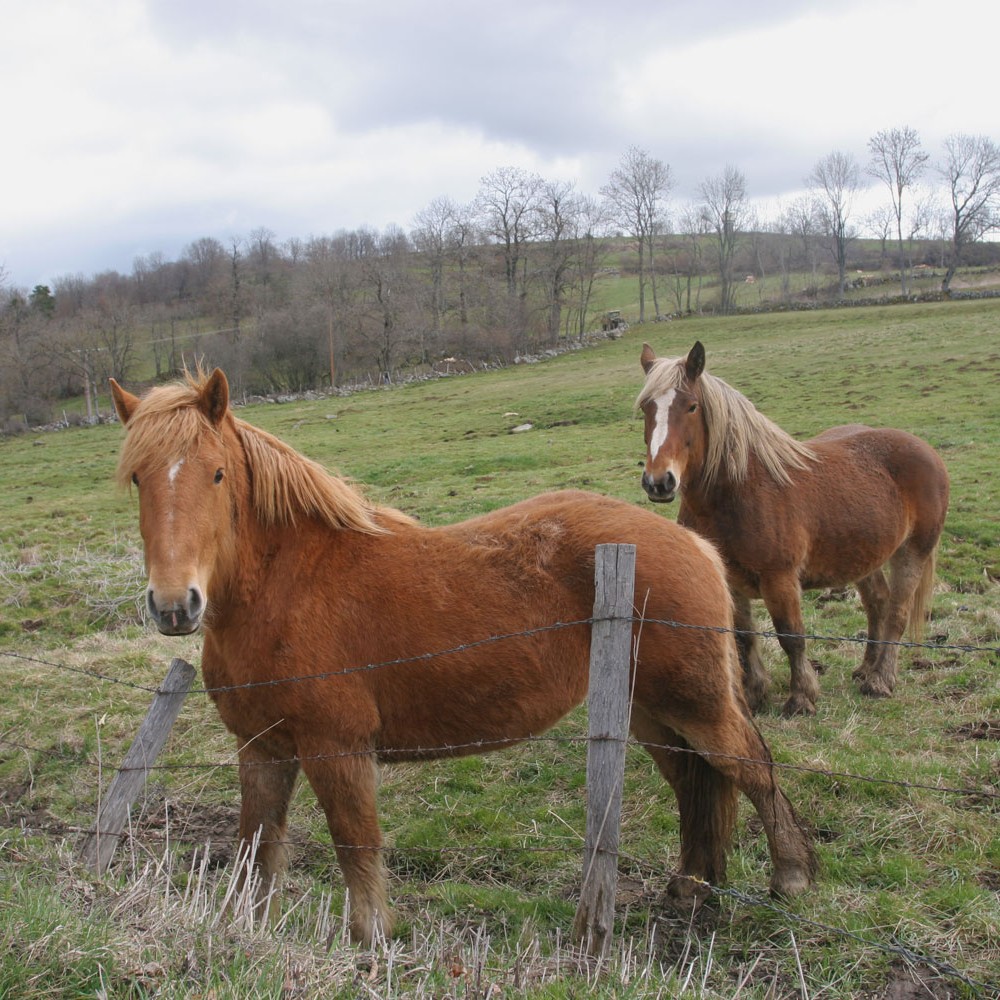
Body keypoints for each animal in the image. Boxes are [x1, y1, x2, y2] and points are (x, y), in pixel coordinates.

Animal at [111, 368, 812, 944]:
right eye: (138, 479)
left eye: (216, 474)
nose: (174, 605)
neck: (287, 587)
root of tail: (694, 545)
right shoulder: (263, 749)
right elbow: (257, 845)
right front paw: (249, 929)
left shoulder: (337, 748)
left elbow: (355, 844)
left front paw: (372, 940)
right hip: (650, 713)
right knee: (696, 785)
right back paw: (691, 886)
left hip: (696, 705)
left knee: (750, 766)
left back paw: (792, 877)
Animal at [636, 344, 948, 720]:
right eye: (646, 407)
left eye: (692, 406)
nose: (658, 482)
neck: (739, 491)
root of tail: (926, 449)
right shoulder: (731, 580)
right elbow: (744, 636)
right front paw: (755, 695)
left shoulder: (780, 579)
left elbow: (791, 636)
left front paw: (802, 698)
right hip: (864, 556)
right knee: (877, 604)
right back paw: (865, 669)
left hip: (913, 552)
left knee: (897, 613)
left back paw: (880, 680)